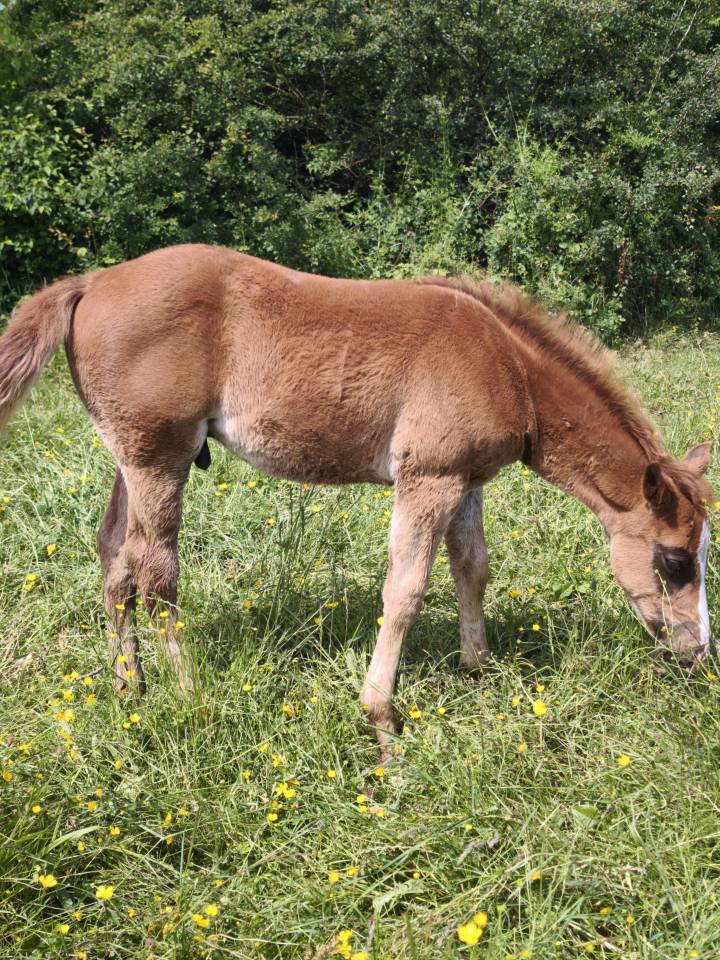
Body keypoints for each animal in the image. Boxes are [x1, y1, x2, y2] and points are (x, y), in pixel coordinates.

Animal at [0, 243, 712, 750]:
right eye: (675, 560)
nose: (697, 653)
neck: (508, 368)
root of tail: (92, 282)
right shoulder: (429, 478)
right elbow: (406, 588)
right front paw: (381, 717)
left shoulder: (466, 480)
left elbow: (472, 567)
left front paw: (477, 669)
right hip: (160, 457)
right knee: (154, 571)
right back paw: (187, 689)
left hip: (133, 458)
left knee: (114, 559)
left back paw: (131, 687)